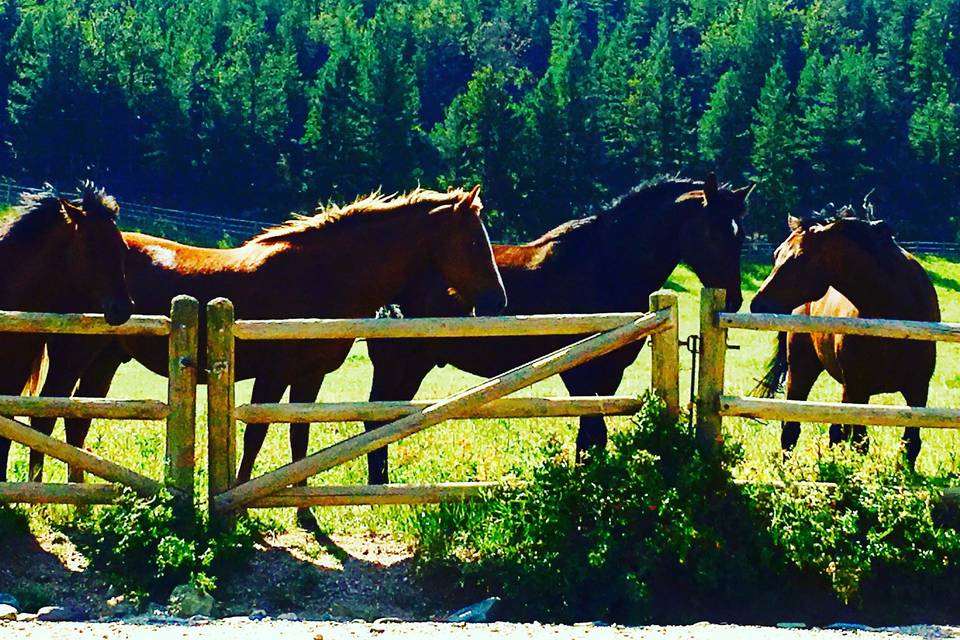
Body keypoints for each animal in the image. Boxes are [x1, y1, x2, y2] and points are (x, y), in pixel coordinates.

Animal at [28, 188, 510, 492]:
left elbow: (299, 437)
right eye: (474, 242)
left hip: (104, 360)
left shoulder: (310, 378)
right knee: (45, 416)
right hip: (73, 357)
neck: (320, 276)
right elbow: (257, 435)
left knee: (76, 421)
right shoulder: (273, 376)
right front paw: (240, 501)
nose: (497, 300)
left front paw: (303, 509)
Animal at [352, 175, 752, 484]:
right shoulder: (580, 371)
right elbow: (593, 431)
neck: (607, 263)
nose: (733, 300)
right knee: (374, 424)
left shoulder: (610, 373)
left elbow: (592, 436)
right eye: (714, 232)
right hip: (399, 366)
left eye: (741, 236)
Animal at [752, 210, 936, 464]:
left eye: (799, 257)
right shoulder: (857, 388)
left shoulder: (917, 389)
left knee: (834, 432)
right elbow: (859, 442)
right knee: (790, 429)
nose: (757, 303)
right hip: (802, 371)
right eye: (776, 254)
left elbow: (910, 445)